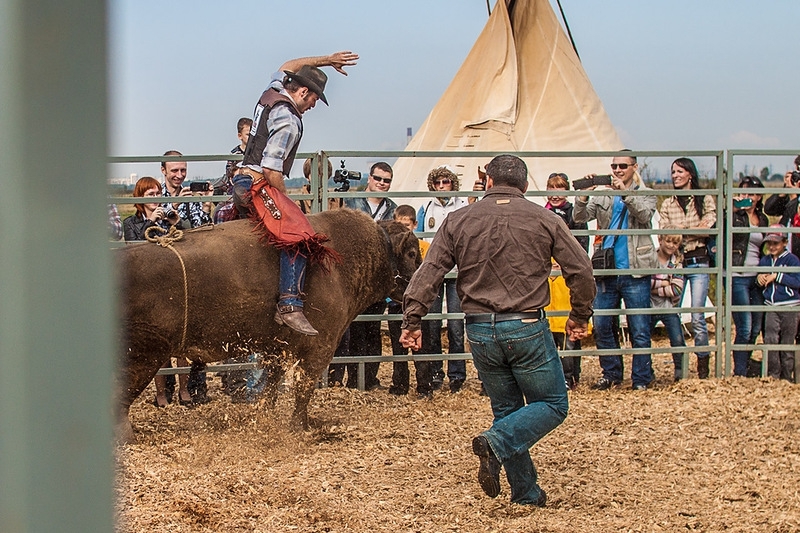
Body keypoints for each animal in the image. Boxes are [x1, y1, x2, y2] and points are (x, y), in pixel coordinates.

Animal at [117, 208, 424, 440]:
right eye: (411, 253)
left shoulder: (276, 348)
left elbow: (271, 385)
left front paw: (264, 417)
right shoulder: (320, 346)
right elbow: (303, 387)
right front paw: (300, 427)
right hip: (145, 355)